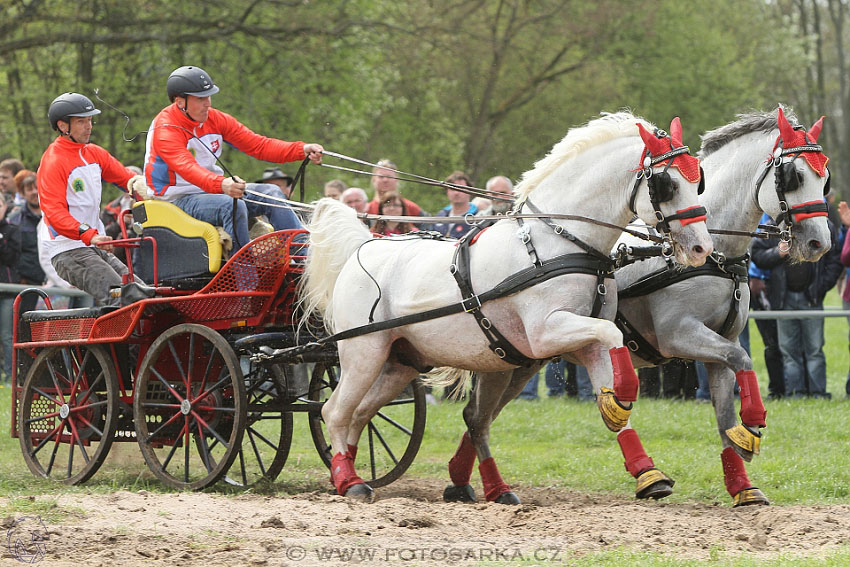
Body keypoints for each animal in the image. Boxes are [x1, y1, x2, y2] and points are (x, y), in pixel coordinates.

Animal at [302, 112, 712, 502]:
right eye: (667, 184)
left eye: (699, 181)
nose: (701, 248)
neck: (558, 243)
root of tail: (365, 245)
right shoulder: (546, 333)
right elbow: (612, 336)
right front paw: (624, 397)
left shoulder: (585, 340)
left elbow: (610, 381)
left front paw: (646, 468)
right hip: (363, 352)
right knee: (333, 411)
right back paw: (350, 481)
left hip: (399, 363)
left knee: (361, 415)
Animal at [612, 108, 832, 508]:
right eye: (793, 177)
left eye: (825, 178)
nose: (819, 243)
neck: (715, 253)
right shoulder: (677, 334)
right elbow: (744, 360)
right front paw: (753, 425)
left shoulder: (720, 343)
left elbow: (724, 411)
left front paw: (742, 480)